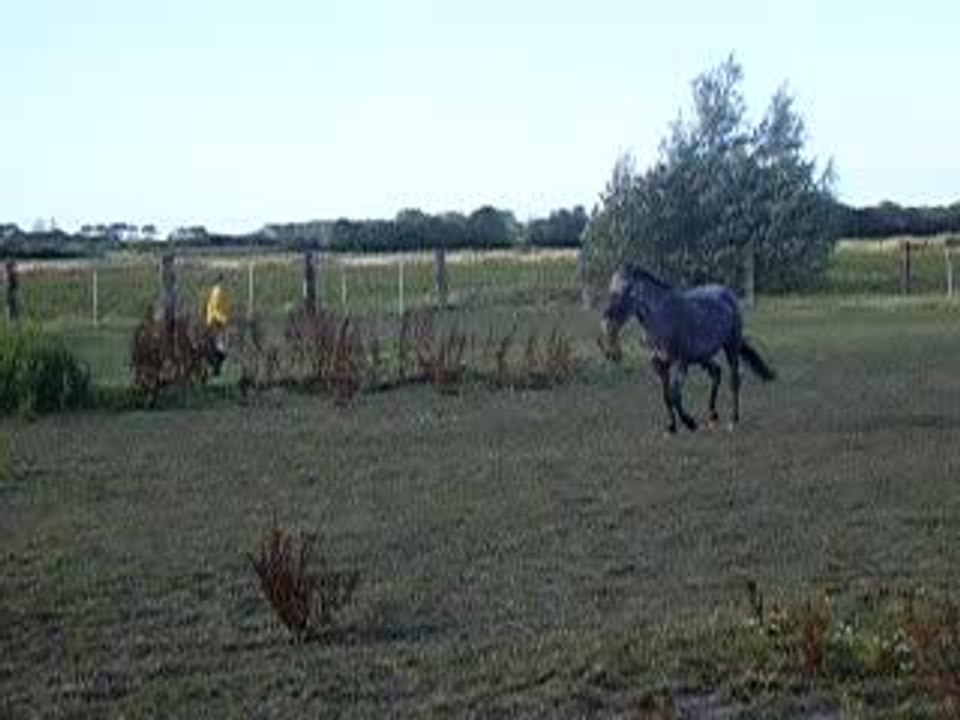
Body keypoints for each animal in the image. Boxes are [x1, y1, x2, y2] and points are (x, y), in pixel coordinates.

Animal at [600, 263, 775, 433]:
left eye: (626, 290)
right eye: (610, 289)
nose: (606, 320)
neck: (663, 318)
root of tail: (727, 293)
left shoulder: (681, 362)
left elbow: (675, 395)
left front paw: (690, 423)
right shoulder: (659, 364)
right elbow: (666, 396)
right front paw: (672, 427)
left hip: (730, 346)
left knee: (734, 380)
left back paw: (733, 421)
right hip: (702, 356)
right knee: (716, 372)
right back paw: (713, 416)